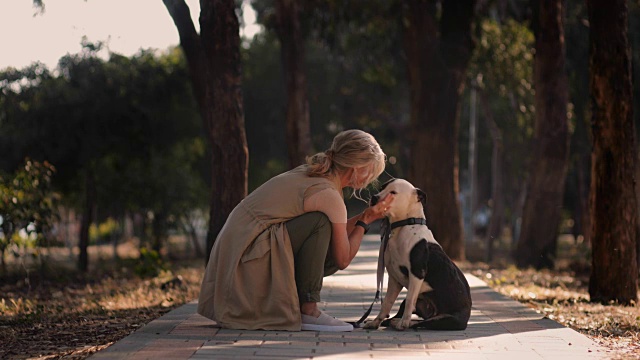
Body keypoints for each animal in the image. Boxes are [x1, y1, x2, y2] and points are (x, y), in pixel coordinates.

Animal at [364, 179, 470, 330]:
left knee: (424, 322)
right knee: (408, 317)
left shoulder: (417, 274)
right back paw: (395, 321)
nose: (374, 198)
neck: (404, 225)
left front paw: (403, 323)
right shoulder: (394, 278)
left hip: (446, 319)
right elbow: (387, 303)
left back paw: (402, 323)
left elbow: (410, 299)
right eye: (381, 188)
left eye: (393, 192)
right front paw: (375, 322)